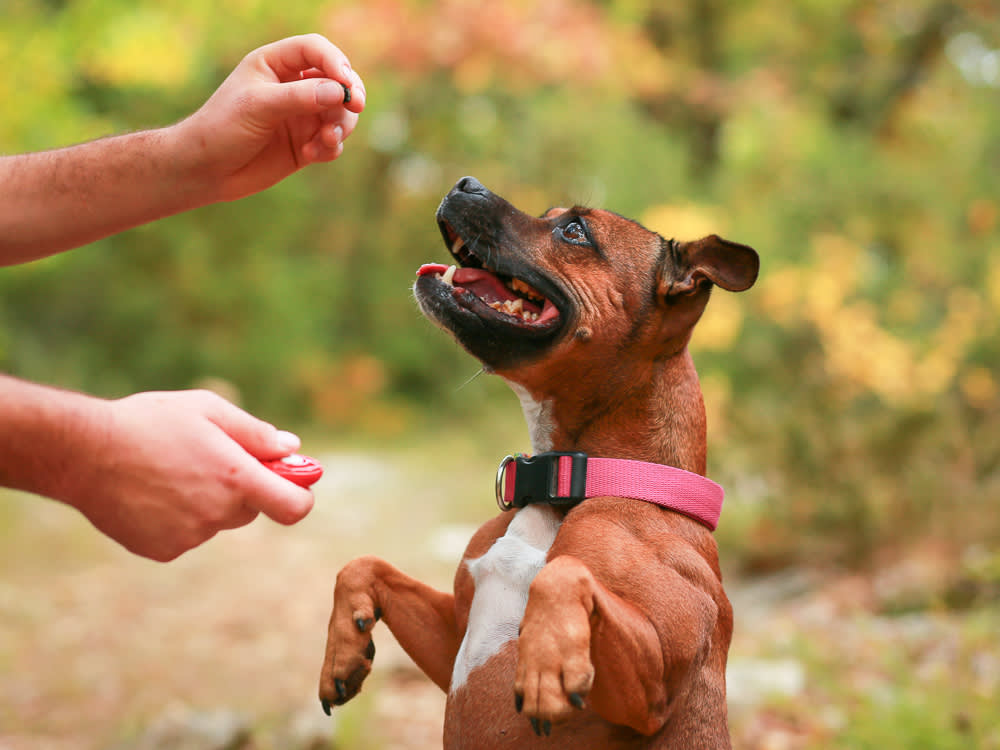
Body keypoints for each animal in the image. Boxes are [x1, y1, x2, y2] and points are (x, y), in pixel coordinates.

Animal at [318, 175, 756, 748]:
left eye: (574, 230)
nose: (466, 183)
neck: (566, 482)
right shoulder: (451, 634)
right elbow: (364, 564)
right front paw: (343, 649)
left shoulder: (655, 682)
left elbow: (564, 572)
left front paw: (546, 663)